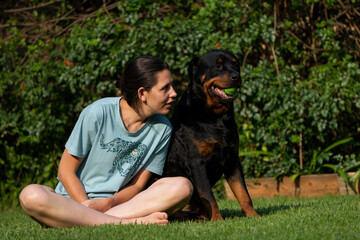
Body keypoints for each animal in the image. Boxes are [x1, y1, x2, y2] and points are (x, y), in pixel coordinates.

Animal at [162, 48, 258, 221]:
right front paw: (218, 220)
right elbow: (208, 195)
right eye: (217, 66)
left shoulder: (232, 159)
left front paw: (253, 216)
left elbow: (243, 193)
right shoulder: (196, 162)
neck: (215, 118)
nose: (236, 76)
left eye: (236, 65)